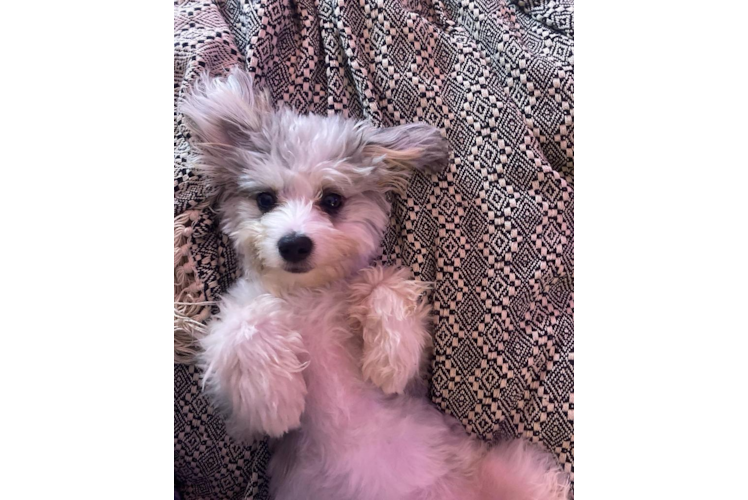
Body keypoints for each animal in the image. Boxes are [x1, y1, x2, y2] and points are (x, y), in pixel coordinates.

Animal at [184, 67, 568, 500]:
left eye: (332, 200)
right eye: (265, 199)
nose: (294, 243)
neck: (307, 297)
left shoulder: (415, 378)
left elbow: (386, 288)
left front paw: (388, 359)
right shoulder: (242, 417)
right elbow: (245, 326)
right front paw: (277, 399)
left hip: (518, 473)